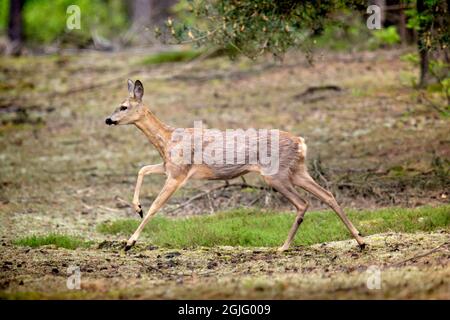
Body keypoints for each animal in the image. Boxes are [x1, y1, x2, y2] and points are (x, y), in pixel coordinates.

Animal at [105, 79, 366, 251]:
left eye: (123, 106)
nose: (108, 119)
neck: (168, 139)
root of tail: (301, 142)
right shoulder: (169, 167)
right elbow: (142, 170)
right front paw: (136, 207)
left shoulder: (178, 174)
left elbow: (156, 206)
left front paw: (130, 242)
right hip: (298, 170)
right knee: (327, 194)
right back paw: (360, 240)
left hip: (276, 174)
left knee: (303, 203)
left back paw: (284, 246)